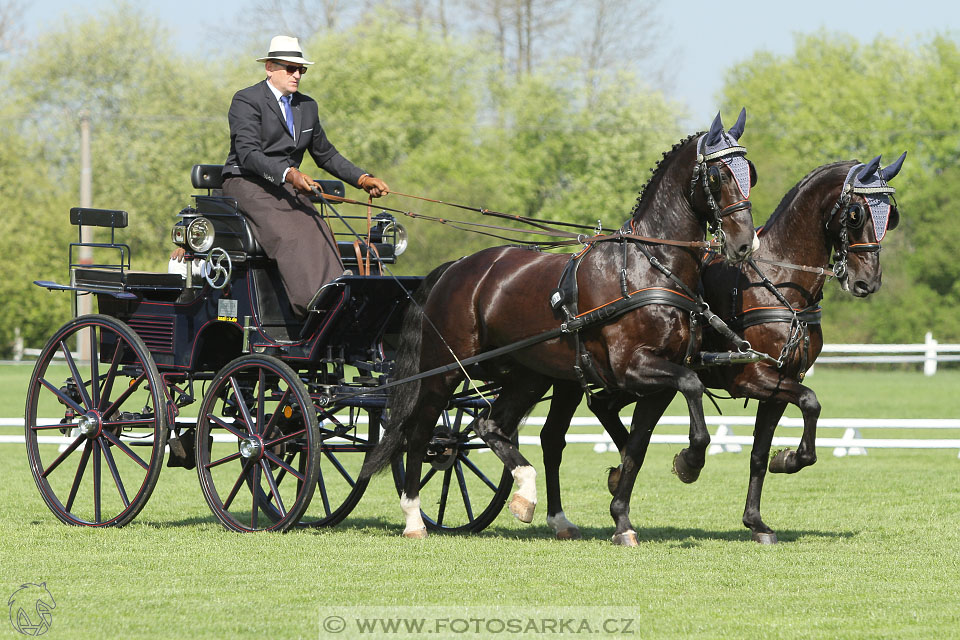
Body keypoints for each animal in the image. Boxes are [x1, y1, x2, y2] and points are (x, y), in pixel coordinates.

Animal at [364, 110, 760, 544]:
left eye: (750, 173)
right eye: (719, 175)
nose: (745, 244)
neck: (649, 266)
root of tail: (455, 267)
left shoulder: (658, 382)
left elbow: (638, 447)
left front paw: (622, 520)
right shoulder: (632, 368)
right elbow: (691, 389)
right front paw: (689, 462)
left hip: (529, 376)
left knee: (493, 425)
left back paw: (530, 498)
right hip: (445, 369)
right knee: (420, 433)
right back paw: (414, 518)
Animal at [540, 152, 908, 544]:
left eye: (890, 215)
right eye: (856, 214)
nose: (866, 282)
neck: (777, 283)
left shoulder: (782, 383)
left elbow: (762, 452)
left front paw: (758, 517)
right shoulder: (752, 377)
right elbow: (811, 401)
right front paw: (782, 461)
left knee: (603, 407)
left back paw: (617, 475)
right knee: (565, 430)